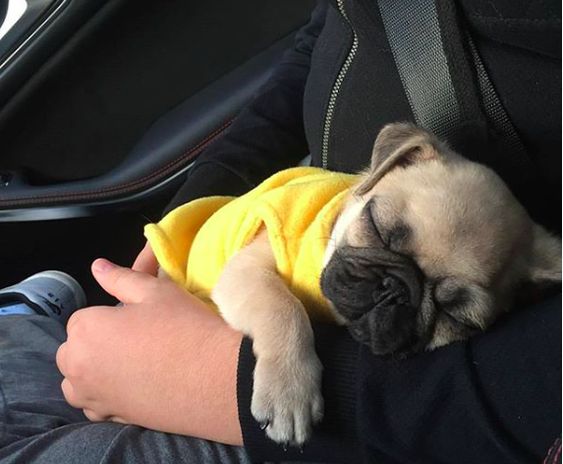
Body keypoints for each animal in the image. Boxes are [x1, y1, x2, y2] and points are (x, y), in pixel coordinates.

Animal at [144, 122, 560, 446]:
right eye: (377, 228)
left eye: (453, 315)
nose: (394, 288)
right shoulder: (247, 269)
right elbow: (283, 308)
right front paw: (289, 391)